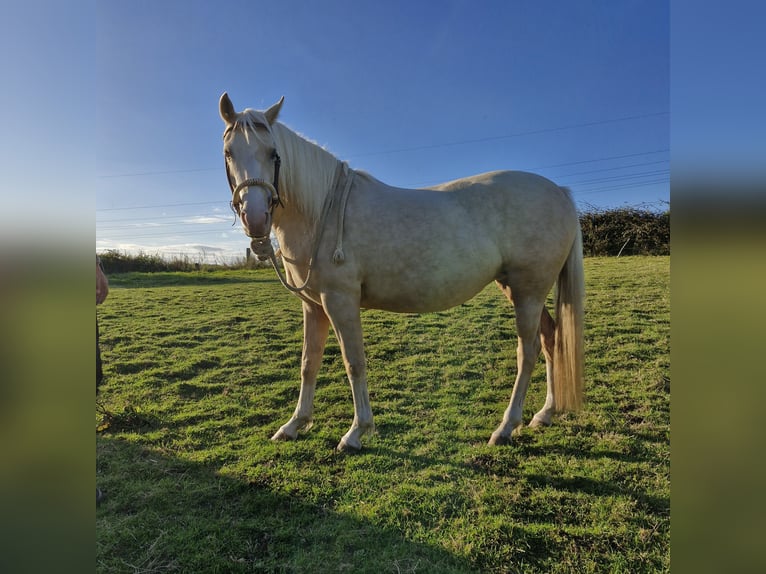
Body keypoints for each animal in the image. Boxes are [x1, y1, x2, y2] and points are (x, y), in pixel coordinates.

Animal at [219, 95, 584, 454]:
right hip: (522, 290)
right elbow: (309, 363)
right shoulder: (313, 305)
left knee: (528, 351)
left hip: (528, 292)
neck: (323, 210)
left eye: (273, 153)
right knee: (551, 339)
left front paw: (356, 432)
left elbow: (354, 363)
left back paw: (506, 427)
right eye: (229, 153)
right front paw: (294, 425)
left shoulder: (340, 301)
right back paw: (544, 414)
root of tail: (560, 192)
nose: (255, 218)